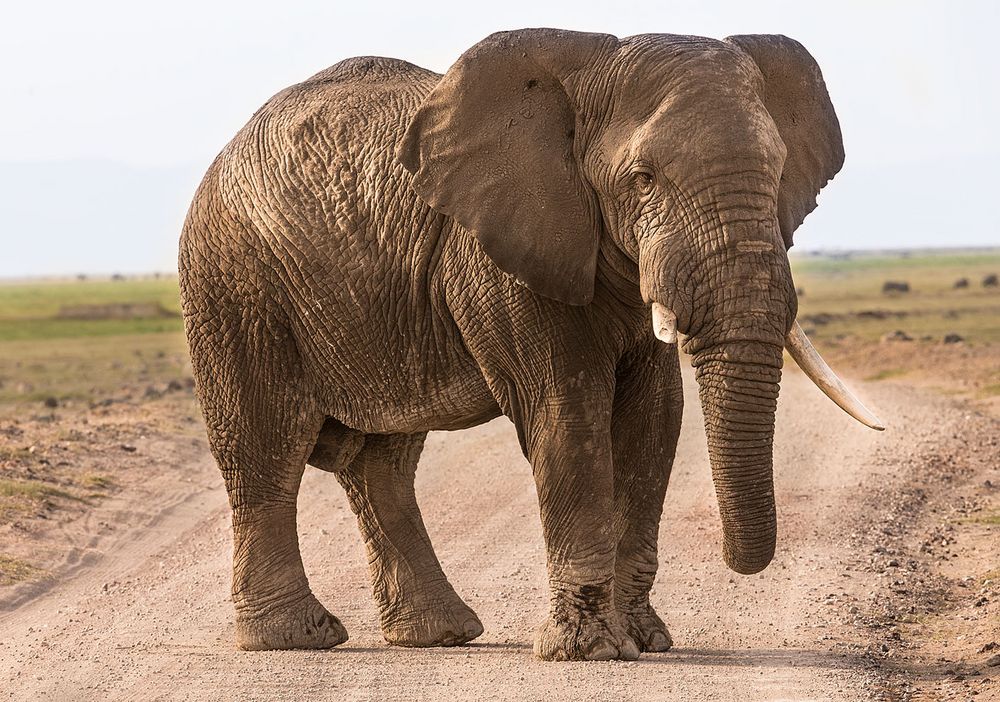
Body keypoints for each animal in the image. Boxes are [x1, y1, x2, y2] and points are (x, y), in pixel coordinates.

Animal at [180, 27, 884, 664]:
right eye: (643, 177)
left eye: (778, 171)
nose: (740, 566)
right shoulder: (500, 258)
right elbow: (567, 415)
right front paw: (592, 653)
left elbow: (655, 417)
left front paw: (647, 642)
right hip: (234, 284)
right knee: (265, 446)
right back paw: (293, 639)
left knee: (383, 463)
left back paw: (440, 634)